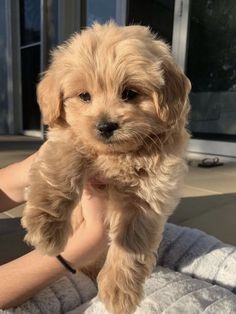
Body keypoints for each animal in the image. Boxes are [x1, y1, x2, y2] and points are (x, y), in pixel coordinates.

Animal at [22, 22, 191, 314]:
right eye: (84, 96)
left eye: (129, 93)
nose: (105, 126)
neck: (116, 156)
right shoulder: (65, 140)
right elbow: (60, 169)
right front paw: (46, 228)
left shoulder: (152, 191)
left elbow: (132, 239)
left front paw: (119, 292)